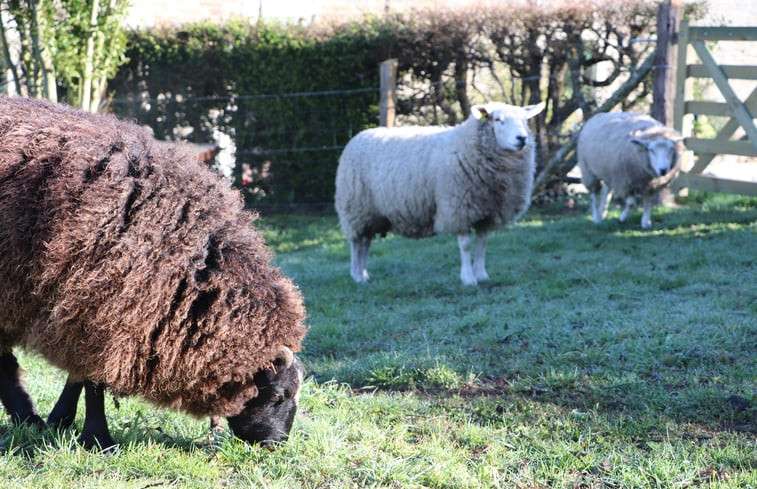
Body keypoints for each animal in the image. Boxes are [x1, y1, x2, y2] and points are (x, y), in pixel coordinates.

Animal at [0, 96, 308, 450]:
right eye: (277, 394)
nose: (276, 443)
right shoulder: (98, 304)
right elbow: (93, 380)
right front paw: (97, 437)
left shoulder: (86, 306)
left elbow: (78, 375)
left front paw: (61, 420)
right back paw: (27, 418)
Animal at [336, 102, 544, 286]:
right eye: (498, 120)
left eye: (525, 120)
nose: (522, 138)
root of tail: (359, 136)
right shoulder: (458, 207)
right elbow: (466, 245)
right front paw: (468, 279)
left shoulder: (487, 211)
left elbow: (482, 243)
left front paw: (482, 274)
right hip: (355, 207)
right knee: (356, 243)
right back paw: (357, 276)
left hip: (372, 213)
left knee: (365, 242)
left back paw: (364, 274)